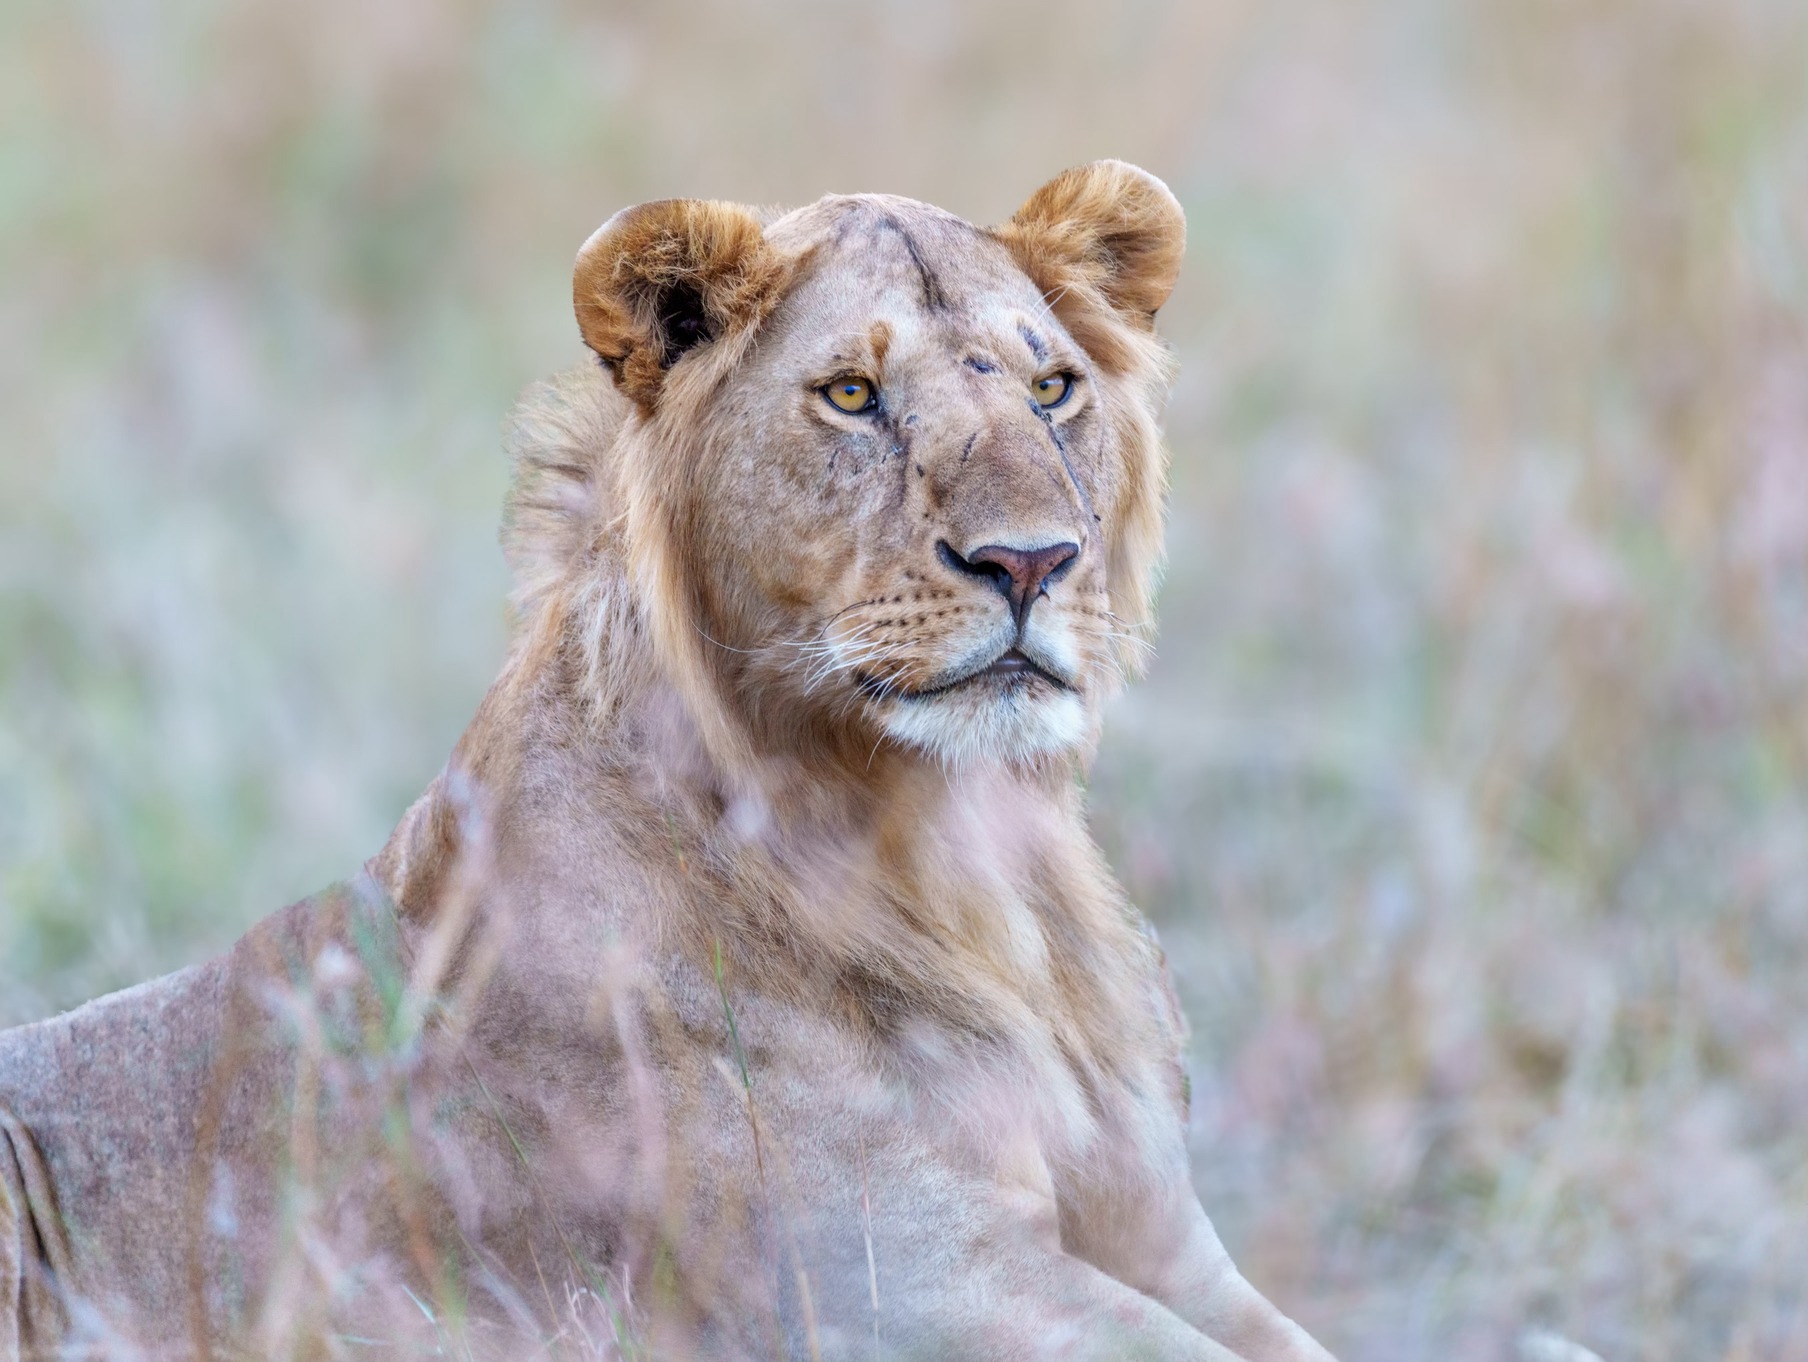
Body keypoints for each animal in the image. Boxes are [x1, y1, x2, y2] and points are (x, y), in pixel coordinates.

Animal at [0, 162, 1336, 1361]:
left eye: (1052, 386)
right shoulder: (901, 1279)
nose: (1029, 561)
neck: (964, 856)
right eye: (851, 393)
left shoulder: (1167, 1247)